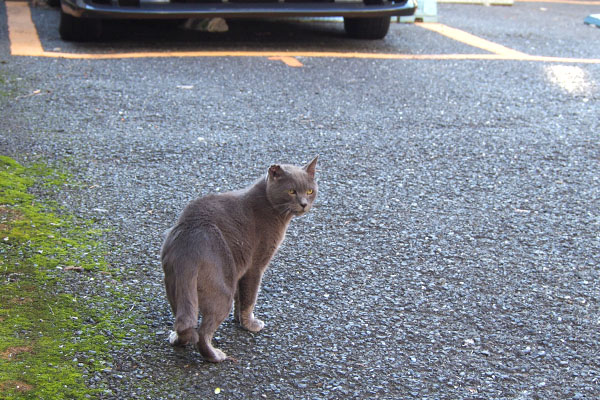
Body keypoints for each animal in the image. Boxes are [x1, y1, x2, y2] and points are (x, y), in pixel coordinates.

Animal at [159, 156, 318, 362]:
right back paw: (215, 356)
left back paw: (176, 339)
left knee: (183, 323)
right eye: (291, 191)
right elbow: (250, 298)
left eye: (310, 191)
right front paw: (250, 324)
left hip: (176, 286)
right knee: (202, 332)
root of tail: (189, 242)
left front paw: (239, 320)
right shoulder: (255, 266)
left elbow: (240, 297)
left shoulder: (239, 269)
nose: (304, 203)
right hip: (221, 287)